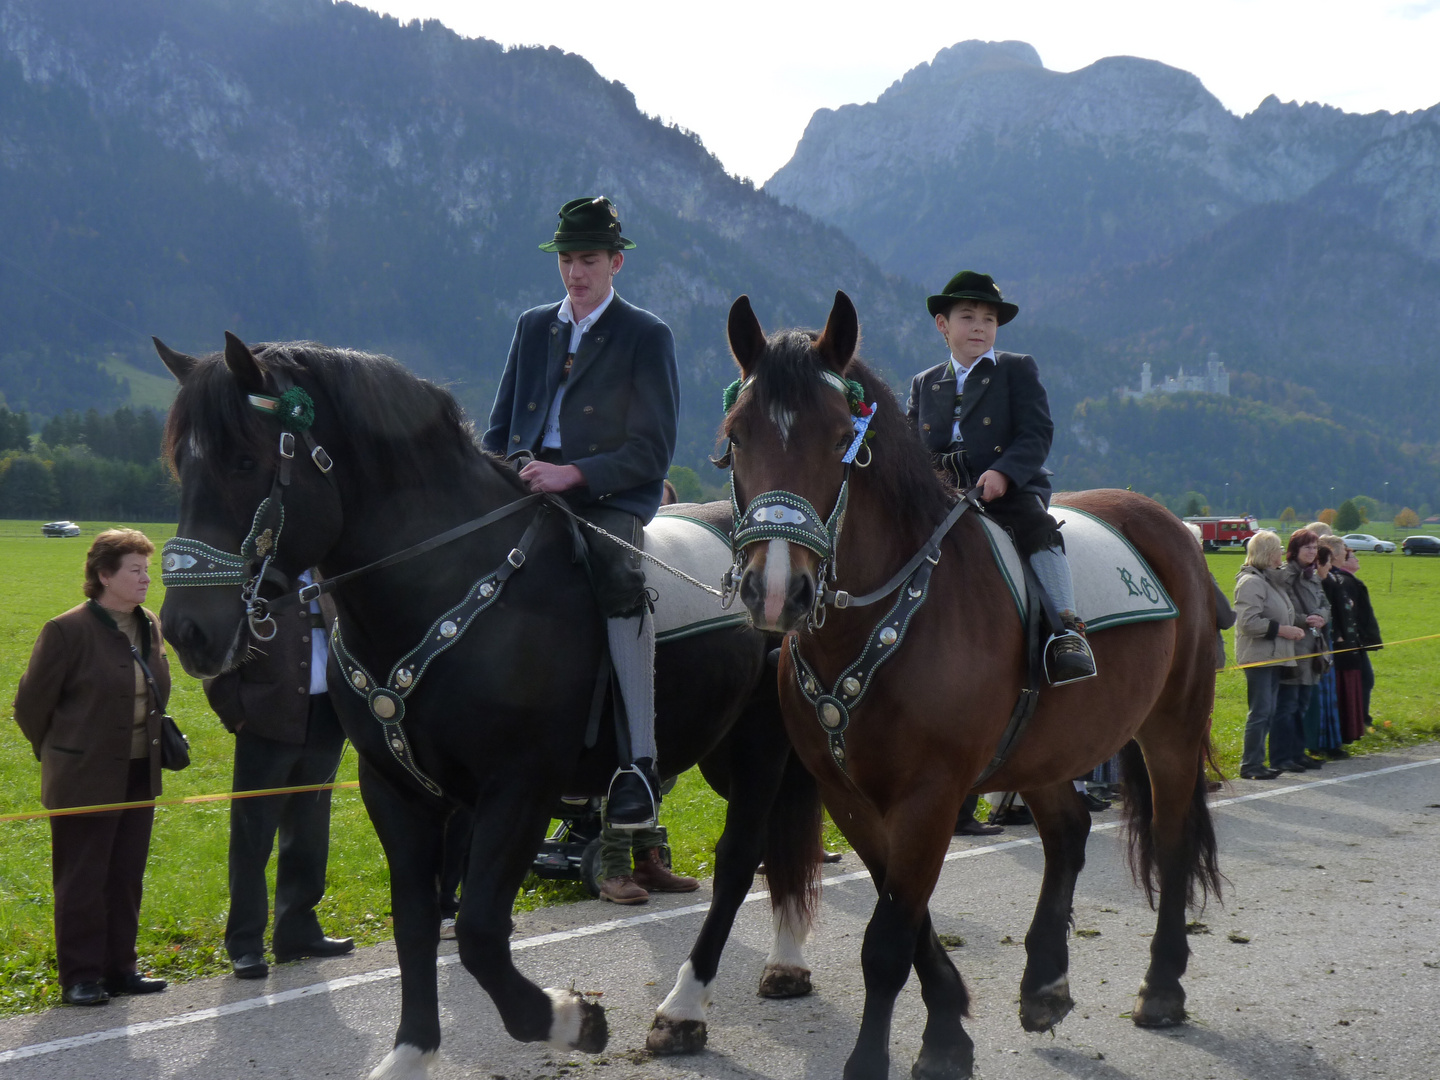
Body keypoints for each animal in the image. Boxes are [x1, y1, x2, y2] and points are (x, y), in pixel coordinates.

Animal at [154, 334, 823, 1077]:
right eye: (181, 462)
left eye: (246, 459)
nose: (186, 629)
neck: (451, 585)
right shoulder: (395, 790)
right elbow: (416, 922)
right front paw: (410, 1052)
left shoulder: (520, 786)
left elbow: (477, 932)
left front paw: (571, 1019)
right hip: (723, 751)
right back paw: (785, 963)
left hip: (761, 747)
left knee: (740, 859)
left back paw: (683, 1009)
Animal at [725, 292, 1221, 1077]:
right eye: (737, 435)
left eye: (840, 439)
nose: (776, 591)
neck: (877, 627)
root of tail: (1172, 527)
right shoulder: (852, 797)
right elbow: (909, 921)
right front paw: (948, 1032)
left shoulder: (931, 794)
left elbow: (888, 941)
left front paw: (877, 1057)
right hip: (1046, 746)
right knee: (1069, 832)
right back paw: (1045, 983)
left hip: (1172, 724)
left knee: (1171, 841)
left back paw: (1162, 988)